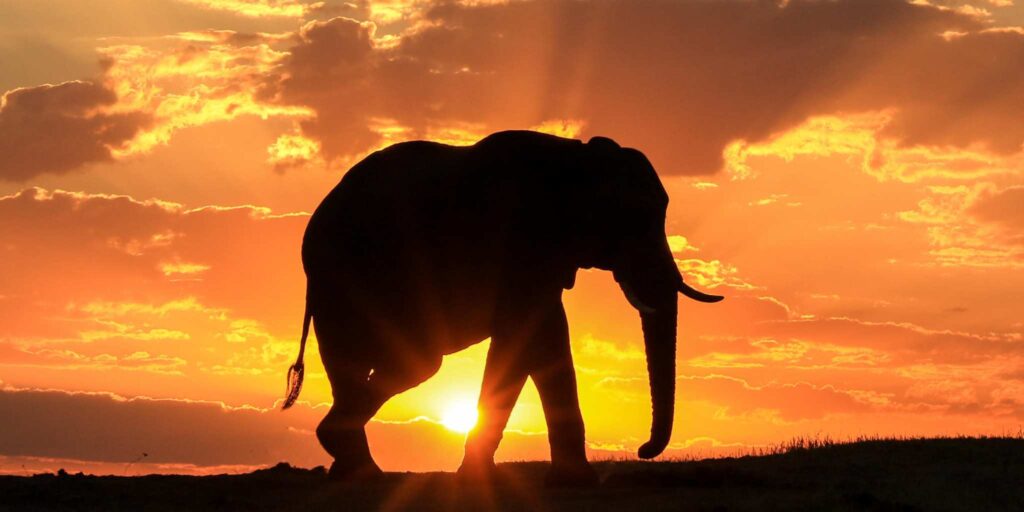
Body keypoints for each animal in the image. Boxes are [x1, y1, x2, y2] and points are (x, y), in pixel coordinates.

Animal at [282, 130, 722, 485]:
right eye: (637, 216)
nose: (643, 450)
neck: (577, 156)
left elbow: (546, 337)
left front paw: (571, 482)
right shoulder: (519, 242)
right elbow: (523, 337)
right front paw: (481, 478)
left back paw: (351, 467)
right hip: (347, 277)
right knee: (418, 362)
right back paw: (350, 458)